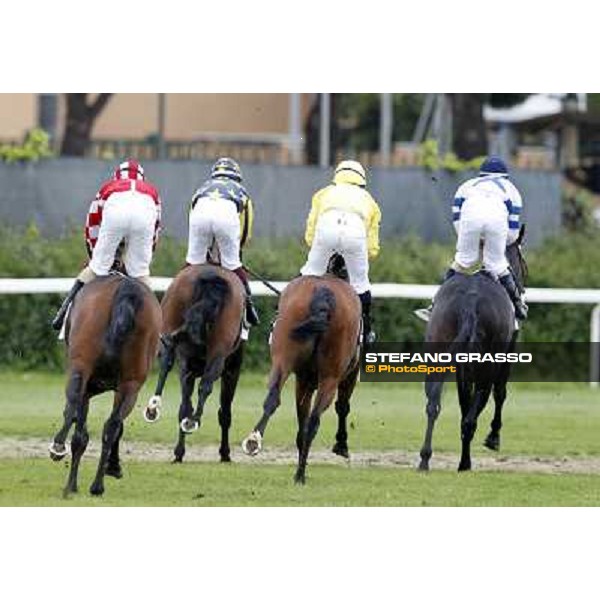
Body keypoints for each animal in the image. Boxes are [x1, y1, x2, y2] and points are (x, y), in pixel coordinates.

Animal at [49, 274, 162, 494]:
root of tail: (127, 289)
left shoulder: (87, 386)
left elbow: (79, 428)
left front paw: (73, 484)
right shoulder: (119, 387)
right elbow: (113, 426)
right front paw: (112, 467)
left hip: (82, 370)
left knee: (75, 408)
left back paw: (59, 451)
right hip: (130, 385)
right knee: (112, 426)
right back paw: (97, 486)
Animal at [142, 264, 244, 464]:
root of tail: (212, 275)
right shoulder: (231, 371)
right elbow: (224, 412)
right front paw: (225, 453)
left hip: (188, 356)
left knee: (186, 396)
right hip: (214, 354)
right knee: (202, 387)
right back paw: (188, 422)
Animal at [240, 274, 360, 486]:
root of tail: (323, 291)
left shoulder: (303, 381)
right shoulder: (344, 377)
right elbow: (342, 407)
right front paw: (341, 445)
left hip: (283, 361)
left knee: (273, 398)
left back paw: (254, 440)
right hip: (330, 378)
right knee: (314, 420)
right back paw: (300, 474)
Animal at [418, 223, 524, 472]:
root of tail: (471, 302)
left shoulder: (461, 369)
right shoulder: (507, 354)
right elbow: (500, 393)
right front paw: (493, 438)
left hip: (439, 347)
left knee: (433, 403)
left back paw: (425, 459)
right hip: (488, 365)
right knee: (473, 413)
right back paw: (465, 463)